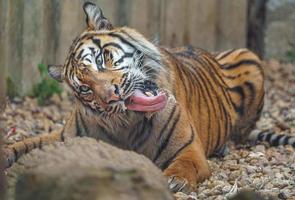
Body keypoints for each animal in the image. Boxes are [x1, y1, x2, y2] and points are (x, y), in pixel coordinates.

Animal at [2, 1, 295, 192]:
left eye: (100, 59)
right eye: (84, 87)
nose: (111, 97)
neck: (128, 123)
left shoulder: (189, 148)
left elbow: (185, 165)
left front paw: (172, 180)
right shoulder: (65, 137)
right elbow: (25, 144)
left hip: (249, 56)